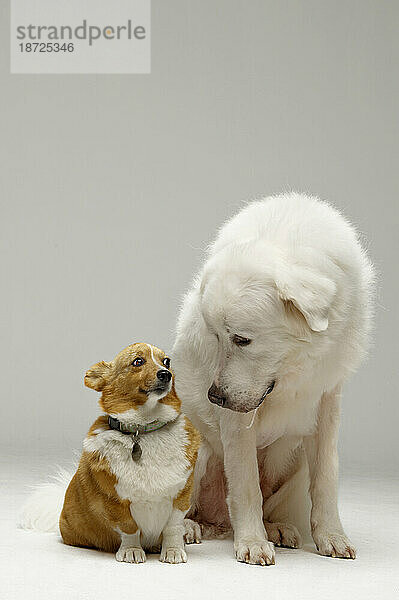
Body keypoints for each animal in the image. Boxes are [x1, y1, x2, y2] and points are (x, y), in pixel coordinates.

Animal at [174, 193, 376, 568]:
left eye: (241, 340)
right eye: (215, 338)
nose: (214, 397)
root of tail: (216, 523)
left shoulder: (327, 398)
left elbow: (326, 477)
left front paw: (332, 537)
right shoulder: (237, 419)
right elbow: (245, 484)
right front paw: (253, 542)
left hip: (293, 461)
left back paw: (276, 529)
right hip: (196, 449)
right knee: (185, 510)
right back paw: (188, 528)